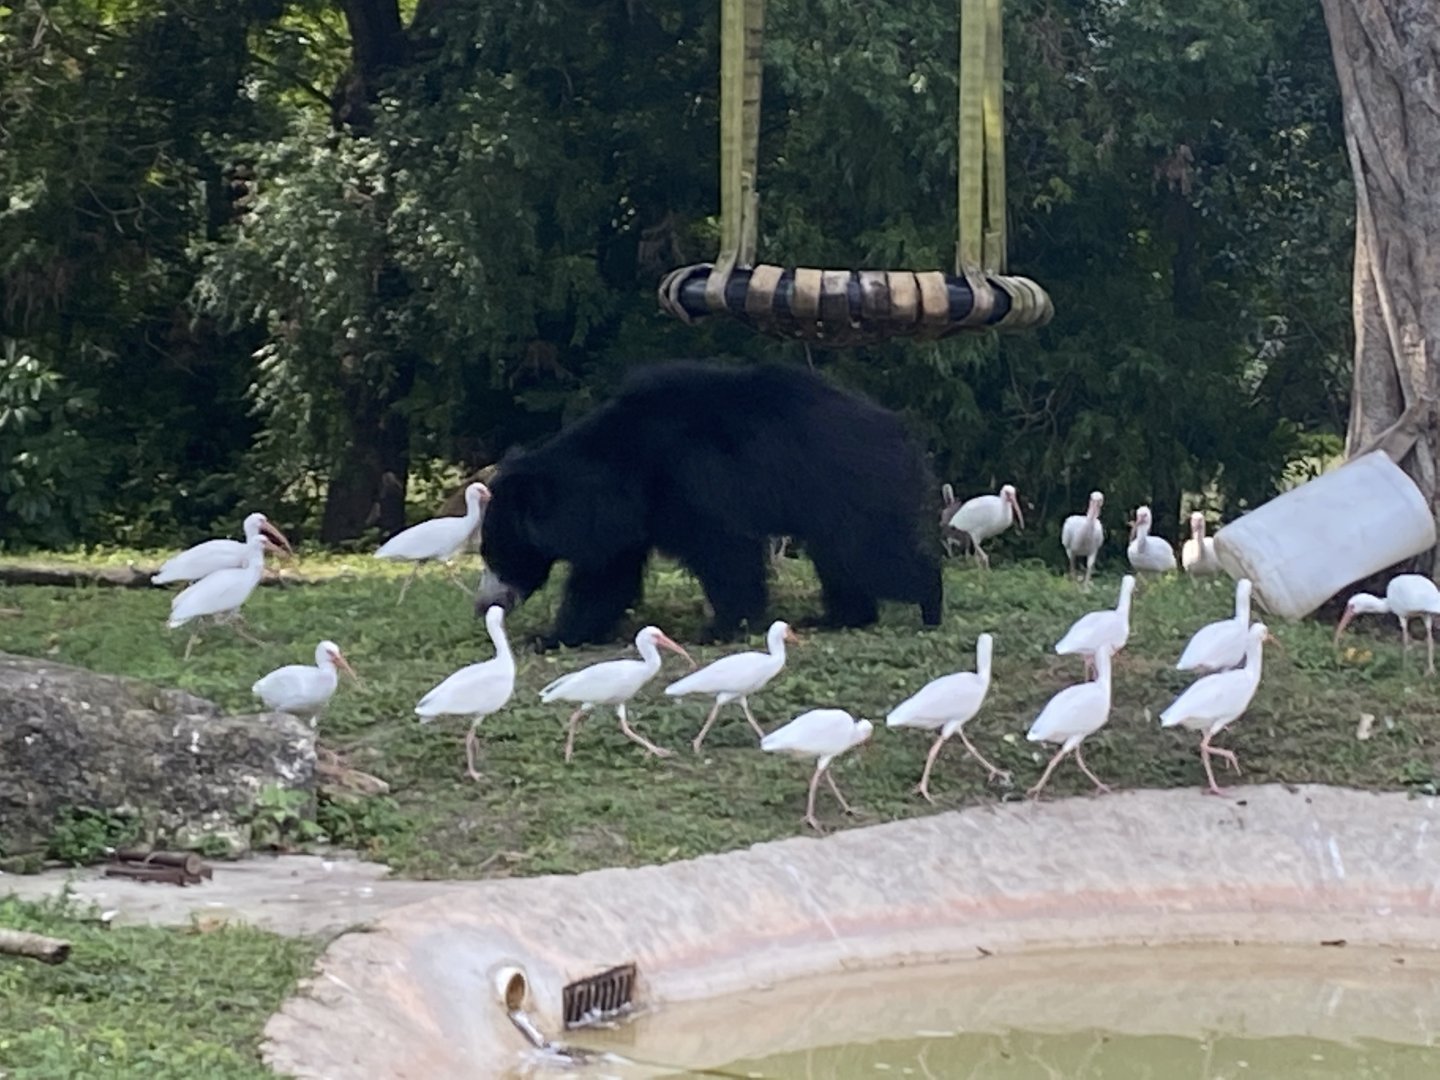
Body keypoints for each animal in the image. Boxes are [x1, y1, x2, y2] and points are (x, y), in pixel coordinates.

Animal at [475, 359, 944, 649]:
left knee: (870, 555)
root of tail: (898, 429)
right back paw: (839, 616)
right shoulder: (628, 518)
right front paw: (551, 636)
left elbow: (726, 553)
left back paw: (929, 604)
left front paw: (720, 628)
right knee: (840, 561)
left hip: (846, 488)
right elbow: (605, 579)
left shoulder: (693, 481)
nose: (483, 605)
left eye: (498, 555)